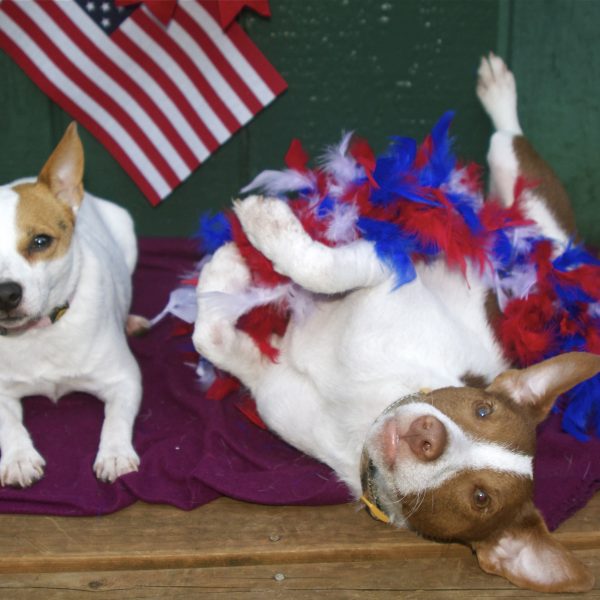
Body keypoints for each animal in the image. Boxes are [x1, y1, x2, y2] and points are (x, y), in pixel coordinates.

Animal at [0, 123, 142, 487]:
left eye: (40, 241)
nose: (6, 294)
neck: (38, 332)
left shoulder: (124, 378)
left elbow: (115, 419)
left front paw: (114, 453)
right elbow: (9, 423)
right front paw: (19, 457)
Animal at [193, 54, 599, 592]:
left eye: (480, 498)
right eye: (481, 408)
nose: (428, 435)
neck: (364, 408)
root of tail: (565, 258)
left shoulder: (270, 384)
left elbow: (218, 334)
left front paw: (237, 257)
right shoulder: (385, 268)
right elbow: (305, 277)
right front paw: (244, 253)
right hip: (529, 206)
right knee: (508, 144)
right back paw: (497, 90)